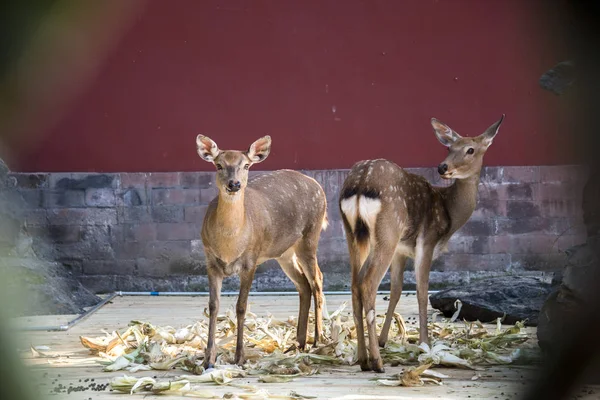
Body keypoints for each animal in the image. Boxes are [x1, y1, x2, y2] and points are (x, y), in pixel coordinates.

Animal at [197, 134, 328, 368]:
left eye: (246, 165)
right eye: (218, 165)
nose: (234, 184)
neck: (230, 245)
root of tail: (317, 185)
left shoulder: (251, 260)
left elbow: (241, 306)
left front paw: (240, 357)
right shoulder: (210, 261)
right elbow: (213, 306)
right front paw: (208, 359)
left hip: (310, 236)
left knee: (317, 280)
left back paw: (318, 339)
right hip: (284, 252)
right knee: (303, 284)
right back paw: (298, 342)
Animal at [340, 115, 504, 372]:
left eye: (469, 149)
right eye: (449, 148)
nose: (443, 167)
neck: (448, 212)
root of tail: (361, 183)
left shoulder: (401, 250)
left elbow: (396, 289)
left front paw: (385, 339)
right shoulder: (427, 241)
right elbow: (422, 291)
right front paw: (425, 344)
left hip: (354, 235)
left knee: (355, 283)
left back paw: (363, 359)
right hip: (388, 230)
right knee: (367, 283)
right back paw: (377, 362)